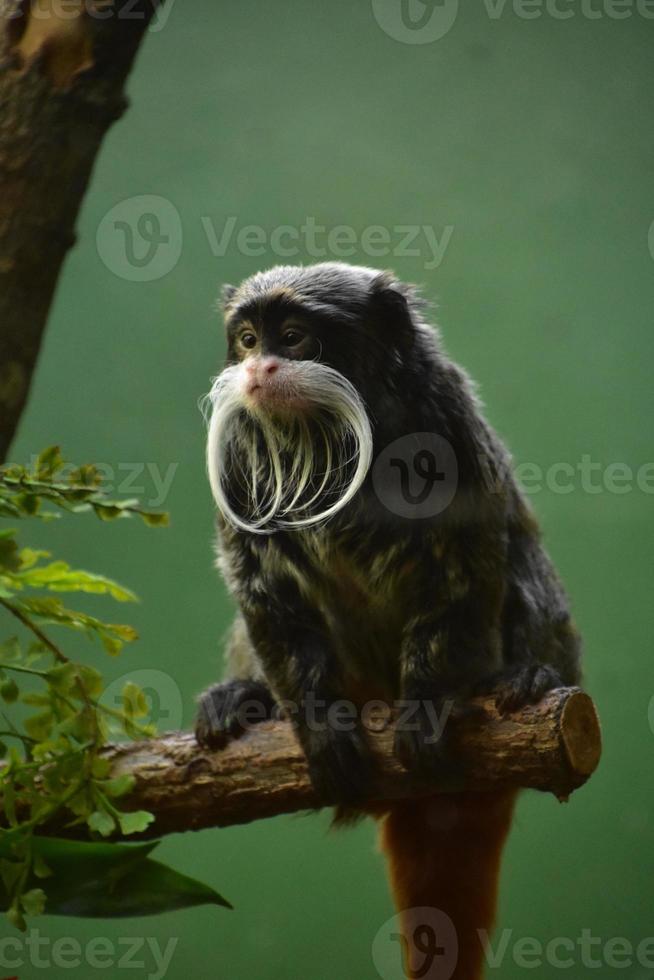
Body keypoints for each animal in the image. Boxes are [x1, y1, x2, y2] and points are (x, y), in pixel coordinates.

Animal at [197, 262, 580, 980]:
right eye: (247, 338)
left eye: (294, 337)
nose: (260, 368)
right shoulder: (236, 448)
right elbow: (261, 590)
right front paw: (317, 723)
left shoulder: (447, 419)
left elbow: (469, 564)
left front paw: (427, 706)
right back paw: (244, 695)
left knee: (520, 558)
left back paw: (528, 679)